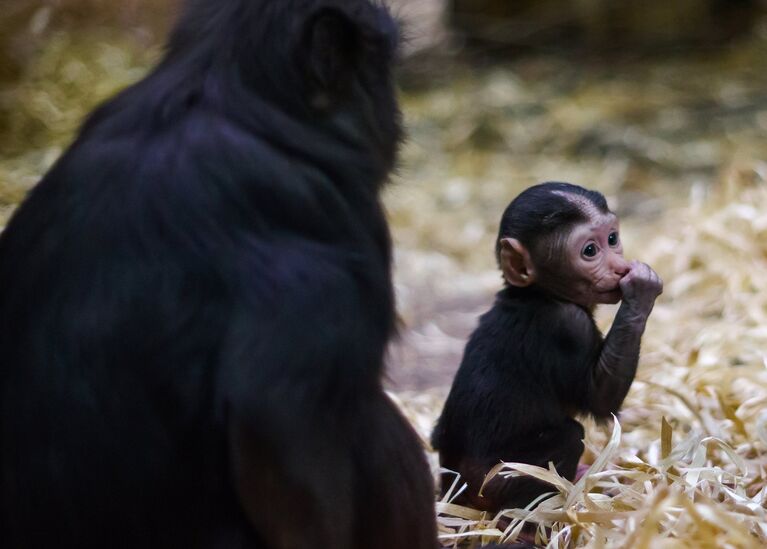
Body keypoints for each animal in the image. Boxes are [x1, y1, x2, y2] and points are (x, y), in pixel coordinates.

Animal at [436, 182, 664, 512]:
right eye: (590, 251)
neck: (539, 294)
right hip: (491, 482)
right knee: (570, 436)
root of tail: (453, 487)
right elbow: (600, 400)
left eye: (612, 239)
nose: (620, 267)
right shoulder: (569, 324)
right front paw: (641, 290)